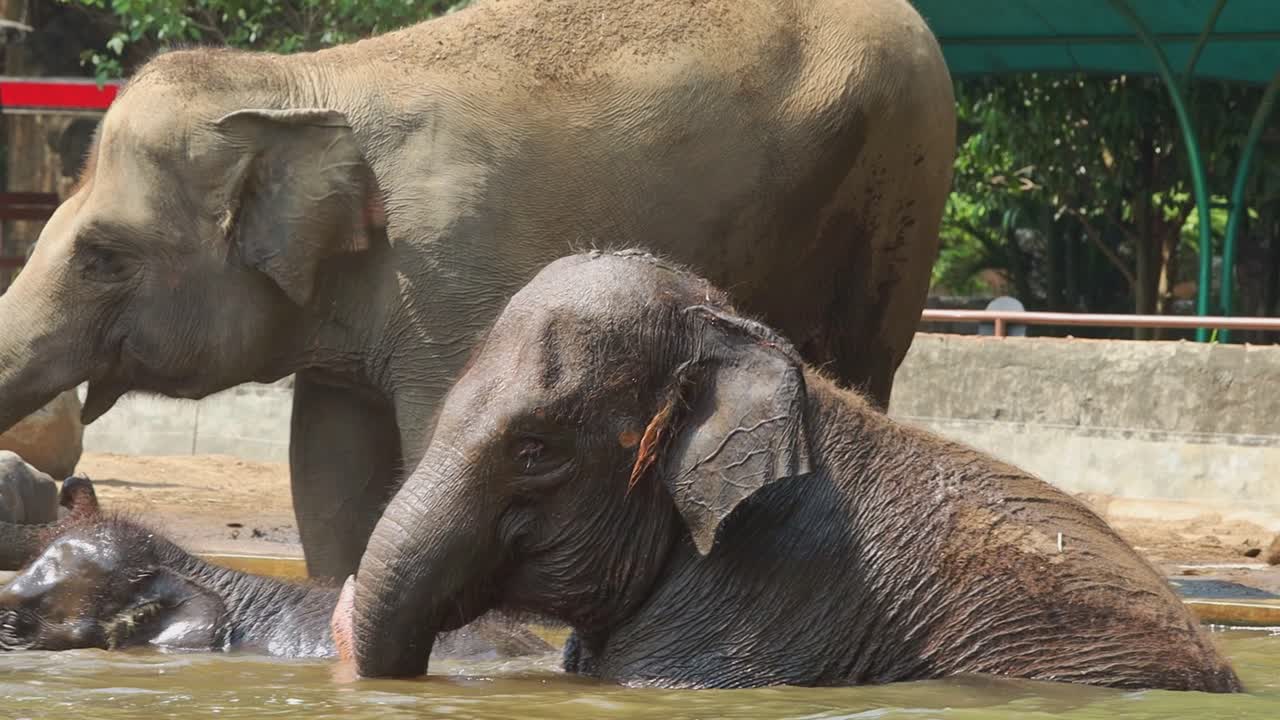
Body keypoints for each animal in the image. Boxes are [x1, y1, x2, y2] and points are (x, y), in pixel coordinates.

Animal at [0, 0, 955, 581]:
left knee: (859, 365)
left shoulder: (451, 273)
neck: (298, 82)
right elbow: (329, 472)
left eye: (101, 255)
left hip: (899, 183)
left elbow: (439, 446)